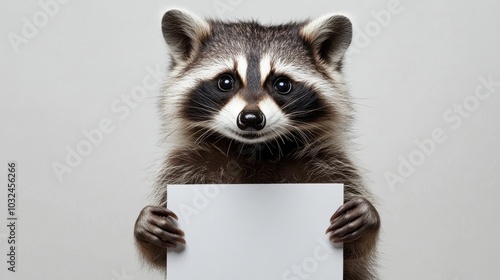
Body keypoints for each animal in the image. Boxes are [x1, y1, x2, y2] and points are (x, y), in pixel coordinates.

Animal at [135, 8, 380, 280]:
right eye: (226, 82)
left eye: (282, 85)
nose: (251, 118)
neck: (255, 150)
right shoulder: (183, 166)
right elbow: (161, 257)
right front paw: (146, 229)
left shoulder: (333, 165)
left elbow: (354, 257)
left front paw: (366, 220)